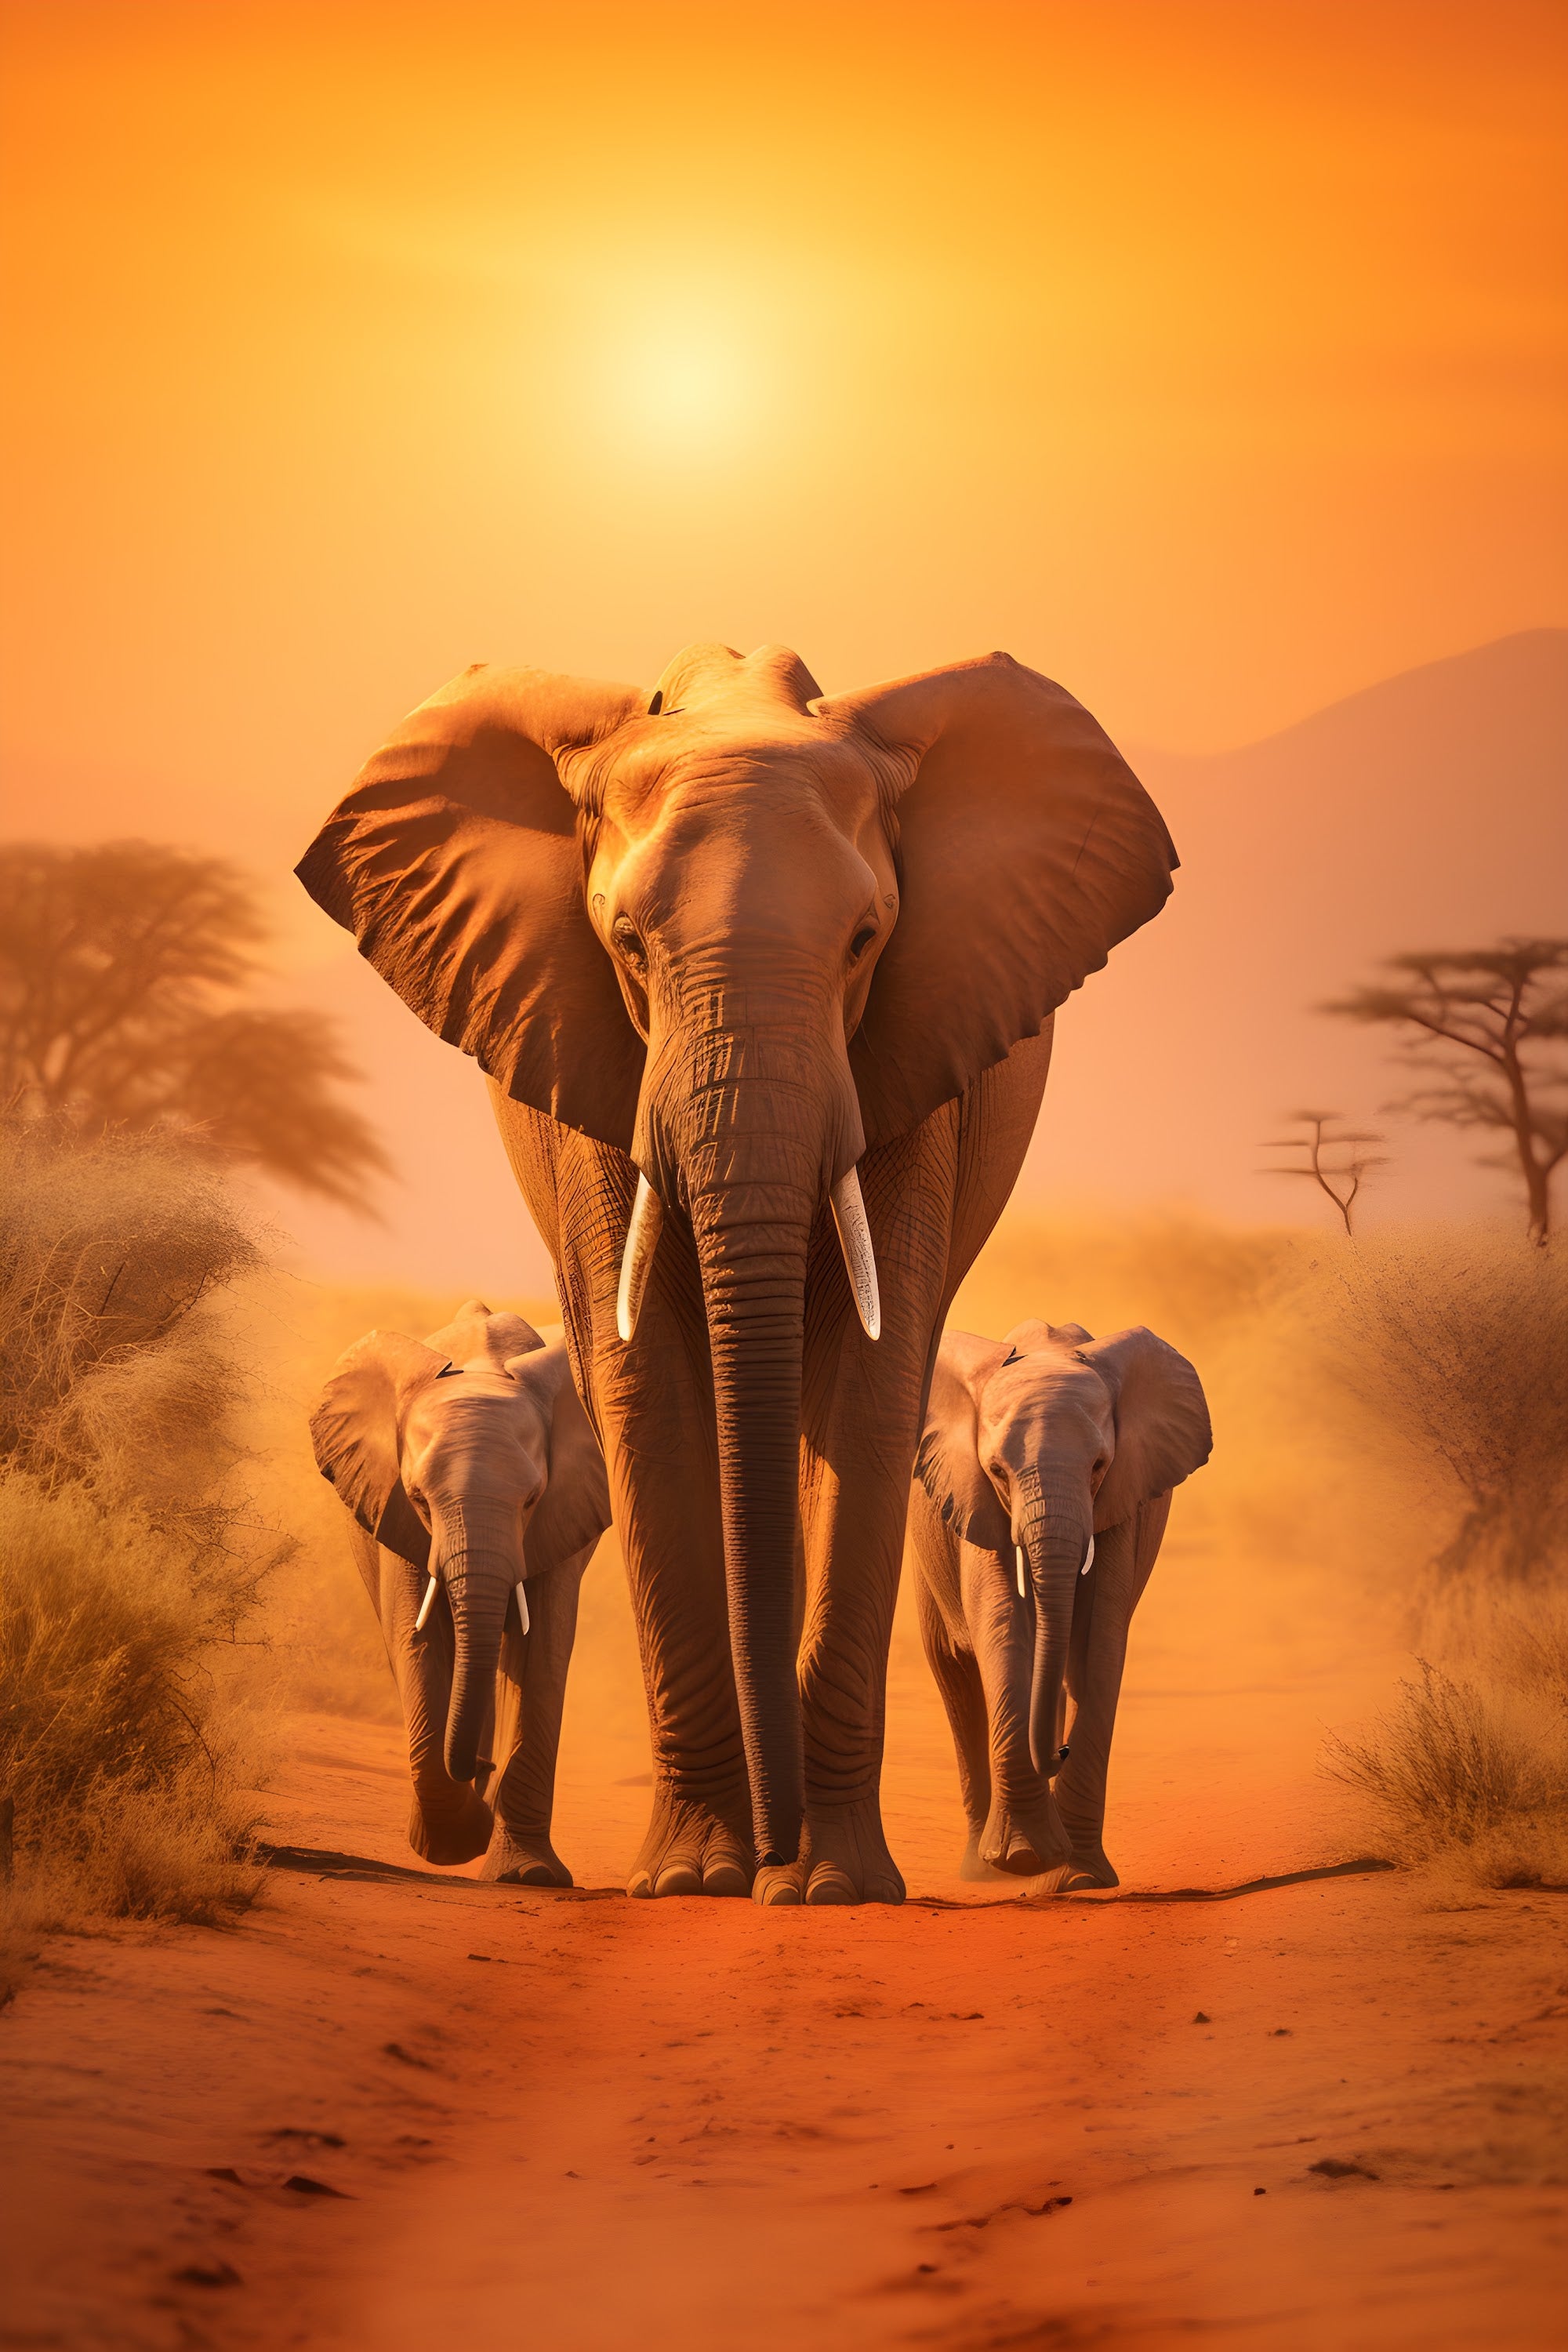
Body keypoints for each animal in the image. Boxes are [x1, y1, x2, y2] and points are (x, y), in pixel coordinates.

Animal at [309, 1299, 610, 1884]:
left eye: (531, 1499)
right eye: (420, 1499)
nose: (481, 1769)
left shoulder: (562, 1516)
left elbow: (543, 1649)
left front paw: (526, 1875)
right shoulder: (395, 1513)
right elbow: (415, 1638)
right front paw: (459, 1839)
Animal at [910, 1318, 1212, 1890]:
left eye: (1098, 1465)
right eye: (997, 1471)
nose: (1059, 1750)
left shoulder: (1122, 1498)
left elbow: (1098, 1640)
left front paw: (1078, 1879)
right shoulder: (974, 1498)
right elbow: (1003, 1627)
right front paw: (1025, 1860)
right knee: (953, 1671)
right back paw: (981, 1873)